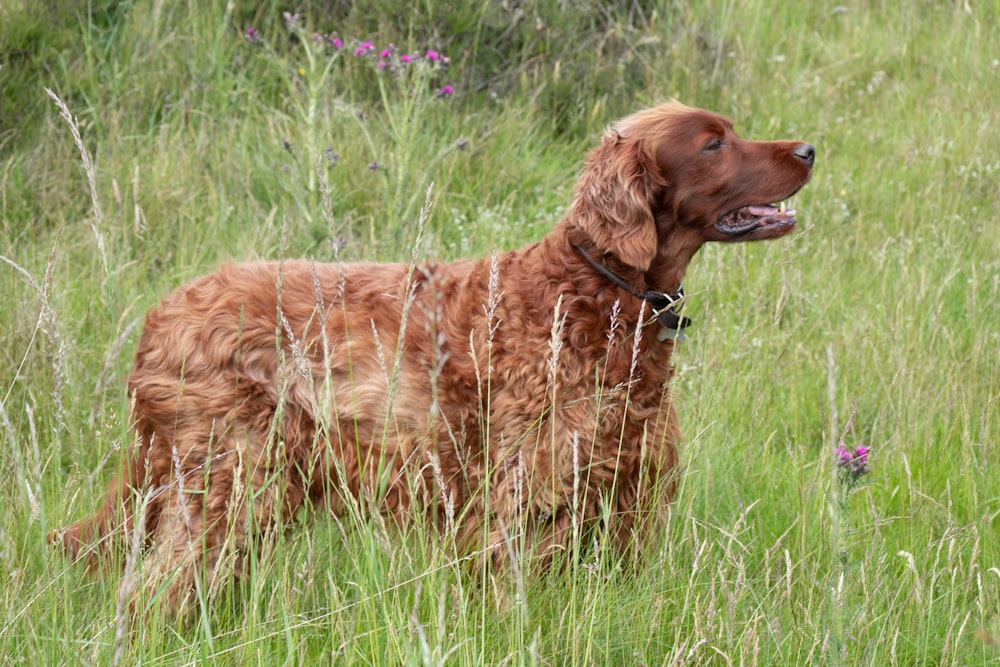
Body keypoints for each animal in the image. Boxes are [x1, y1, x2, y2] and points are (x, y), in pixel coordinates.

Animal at [52, 102, 812, 612]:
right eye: (713, 143)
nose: (807, 148)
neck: (599, 291)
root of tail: (162, 315)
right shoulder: (519, 506)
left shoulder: (623, 501)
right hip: (227, 483)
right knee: (154, 592)